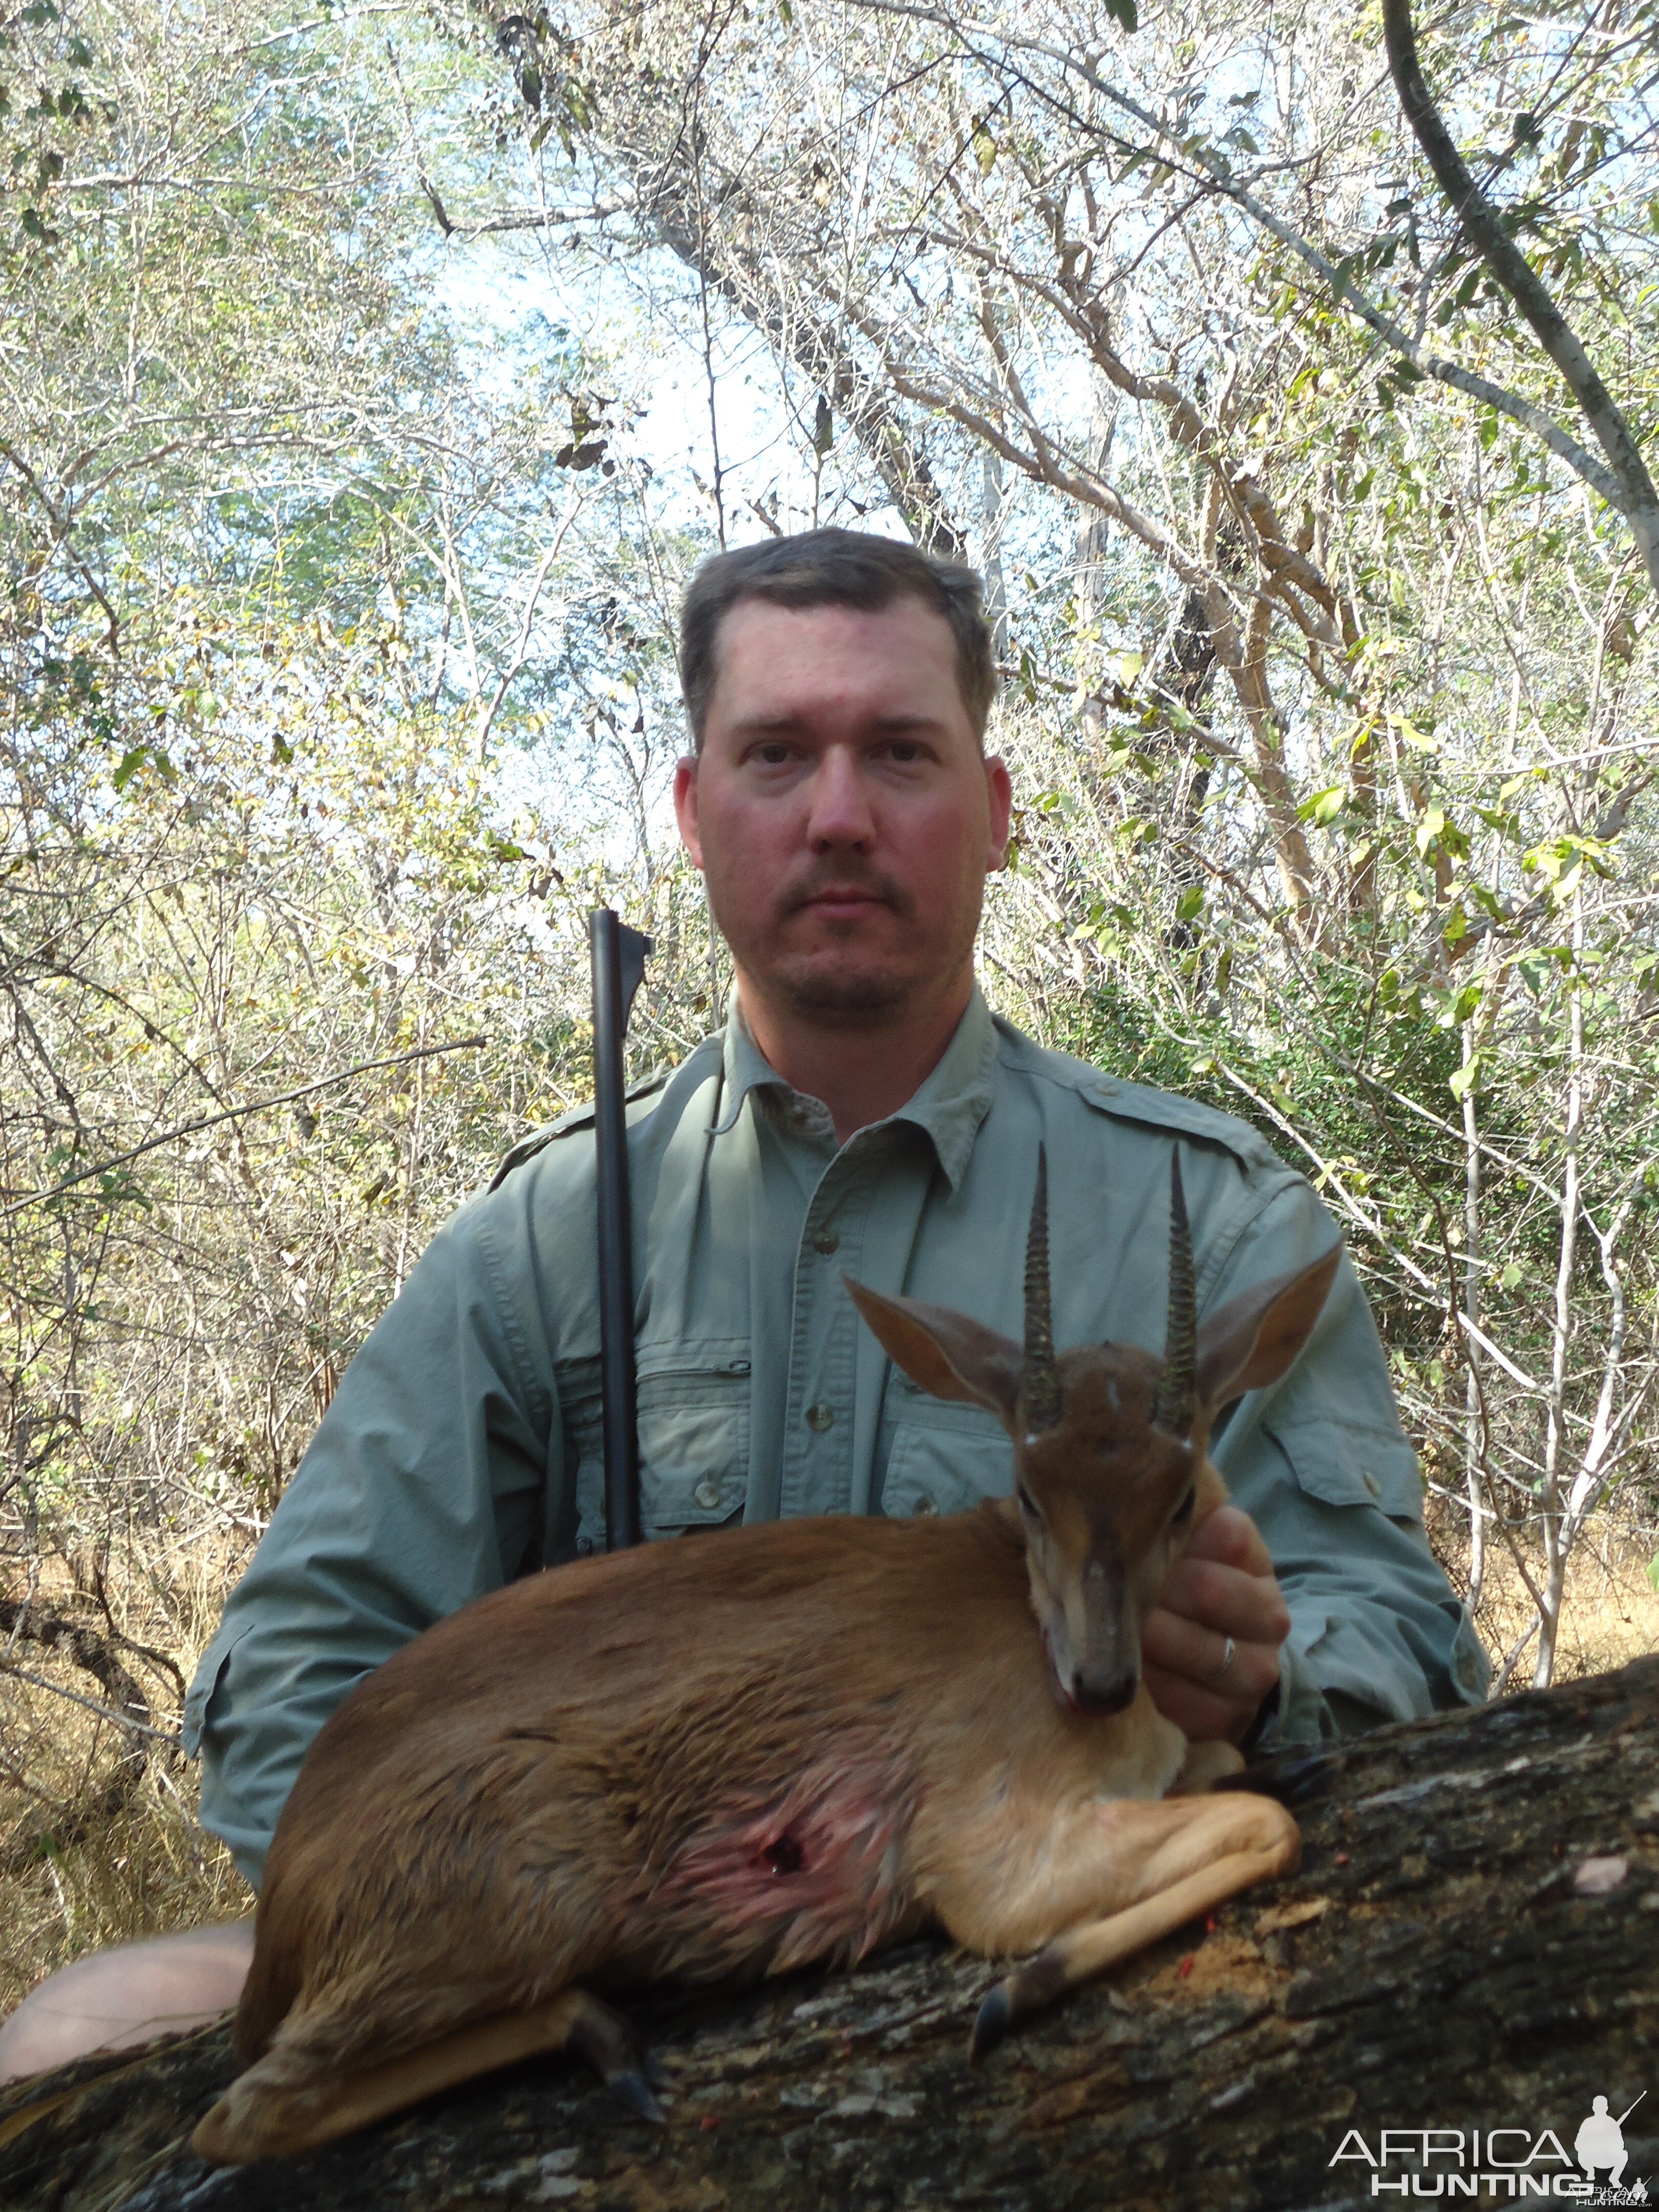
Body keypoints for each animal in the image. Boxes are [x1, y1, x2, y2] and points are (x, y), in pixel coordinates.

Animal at [195, 1159, 1345, 2159]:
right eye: (1027, 1493)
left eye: (1183, 1497)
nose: (1097, 1684)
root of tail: (283, 1914)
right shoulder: (992, 1857)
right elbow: (1266, 1825)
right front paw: (1017, 1989)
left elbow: (1242, 1781)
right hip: (533, 1892)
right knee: (244, 2111)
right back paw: (608, 2039)